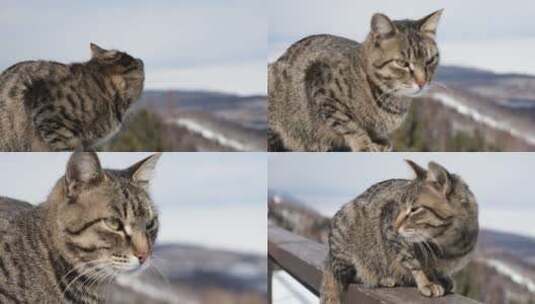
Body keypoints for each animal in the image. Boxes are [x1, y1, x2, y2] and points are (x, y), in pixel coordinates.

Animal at [272, 10, 444, 151]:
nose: (422, 82)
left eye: (430, 60)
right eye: (402, 63)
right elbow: (348, 123)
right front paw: (364, 143)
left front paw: (379, 141)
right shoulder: (320, 83)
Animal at [320, 160, 480, 302]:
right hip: (347, 232)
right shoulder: (391, 232)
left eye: (414, 209)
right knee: (348, 275)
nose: (395, 225)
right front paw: (427, 282)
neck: (447, 242)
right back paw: (382, 278)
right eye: (399, 206)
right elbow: (415, 263)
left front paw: (441, 278)